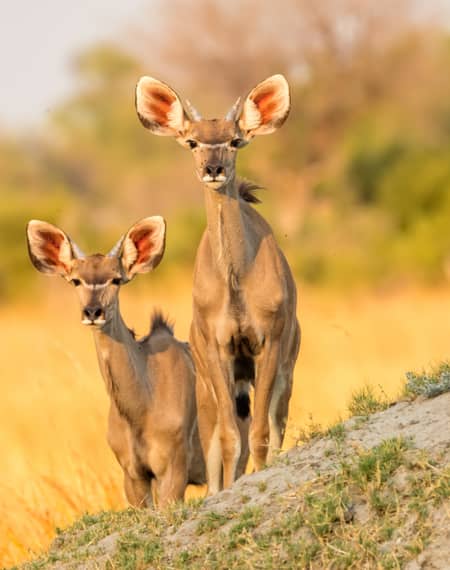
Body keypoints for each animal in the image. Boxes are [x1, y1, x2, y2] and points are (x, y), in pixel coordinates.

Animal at [26, 215, 206, 504]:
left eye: (116, 280)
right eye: (76, 281)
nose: (93, 312)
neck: (141, 408)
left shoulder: (174, 471)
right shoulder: (133, 476)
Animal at [135, 74, 300, 492]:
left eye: (235, 140)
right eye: (192, 141)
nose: (213, 169)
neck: (235, 281)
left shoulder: (269, 342)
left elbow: (261, 433)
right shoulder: (217, 348)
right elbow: (228, 439)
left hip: (281, 369)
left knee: (274, 425)